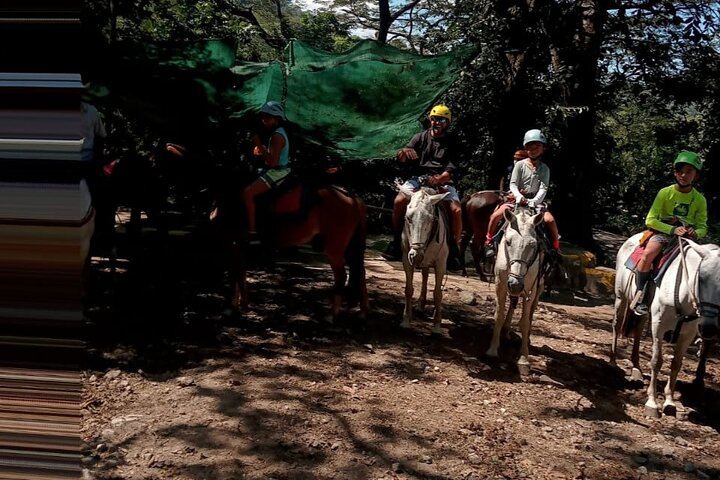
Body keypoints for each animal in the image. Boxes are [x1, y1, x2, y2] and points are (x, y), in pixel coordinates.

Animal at [212, 180, 372, 322]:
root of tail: (352, 198)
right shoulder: (238, 246)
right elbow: (240, 272)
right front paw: (241, 305)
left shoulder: (231, 244)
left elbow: (234, 274)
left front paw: (231, 308)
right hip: (351, 248)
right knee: (359, 271)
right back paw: (363, 312)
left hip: (335, 250)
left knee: (342, 276)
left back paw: (331, 314)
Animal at [400, 185, 450, 334]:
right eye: (407, 217)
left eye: (431, 219)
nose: (416, 255)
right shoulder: (407, 259)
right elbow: (409, 289)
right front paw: (406, 320)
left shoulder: (441, 264)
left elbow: (438, 293)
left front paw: (437, 325)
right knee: (425, 276)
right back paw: (421, 305)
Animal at [486, 206, 544, 376]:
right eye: (508, 242)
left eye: (533, 245)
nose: (515, 283)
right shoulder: (500, 284)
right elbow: (499, 315)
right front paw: (492, 350)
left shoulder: (529, 288)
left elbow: (524, 322)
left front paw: (523, 359)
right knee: (512, 301)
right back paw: (505, 330)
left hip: (538, 288)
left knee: (530, 312)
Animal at [612, 232, 720, 416]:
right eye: (702, 278)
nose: (709, 328)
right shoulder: (659, 325)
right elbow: (657, 361)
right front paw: (652, 402)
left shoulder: (688, 333)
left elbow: (676, 364)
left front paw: (669, 401)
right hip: (621, 297)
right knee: (617, 325)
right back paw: (612, 361)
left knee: (638, 331)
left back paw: (636, 368)